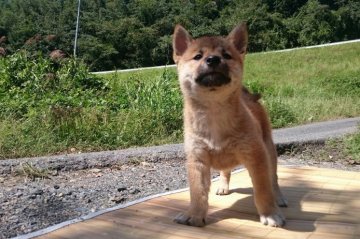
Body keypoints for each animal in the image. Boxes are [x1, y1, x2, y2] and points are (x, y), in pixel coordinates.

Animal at [172, 23, 286, 228]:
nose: (213, 59)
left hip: (269, 150)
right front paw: (194, 215)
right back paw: (223, 186)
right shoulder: (197, 159)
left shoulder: (256, 157)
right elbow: (197, 193)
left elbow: (263, 190)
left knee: (273, 179)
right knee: (225, 171)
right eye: (198, 56)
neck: (214, 111)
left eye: (226, 55)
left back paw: (278, 198)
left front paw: (270, 214)